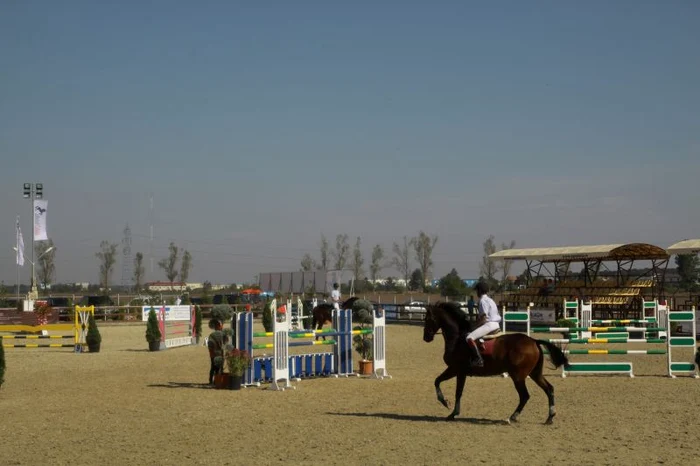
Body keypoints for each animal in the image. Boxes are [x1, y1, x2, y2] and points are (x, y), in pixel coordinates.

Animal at [422, 302, 568, 426]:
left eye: (428, 319)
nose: (426, 338)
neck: (457, 338)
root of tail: (533, 341)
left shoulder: (456, 370)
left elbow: (452, 390)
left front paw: (448, 407)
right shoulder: (456, 371)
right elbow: (440, 382)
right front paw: (449, 408)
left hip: (518, 376)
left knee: (525, 396)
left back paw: (511, 418)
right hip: (534, 374)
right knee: (549, 389)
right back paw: (549, 418)